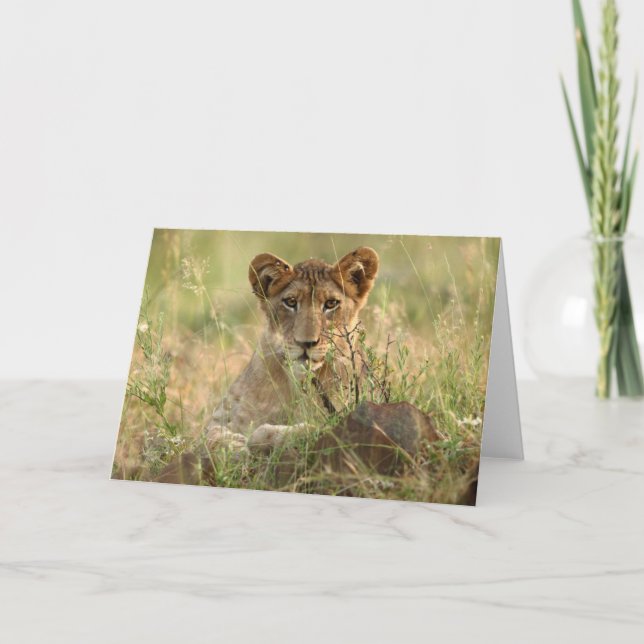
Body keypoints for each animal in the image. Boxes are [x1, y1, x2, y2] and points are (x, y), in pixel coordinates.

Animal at [204, 246, 379, 451]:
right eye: (290, 302)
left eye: (330, 304)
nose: (306, 343)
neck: (296, 384)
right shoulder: (221, 417)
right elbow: (210, 436)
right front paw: (233, 444)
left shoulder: (342, 417)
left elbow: (303, 430)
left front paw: (259, 438)